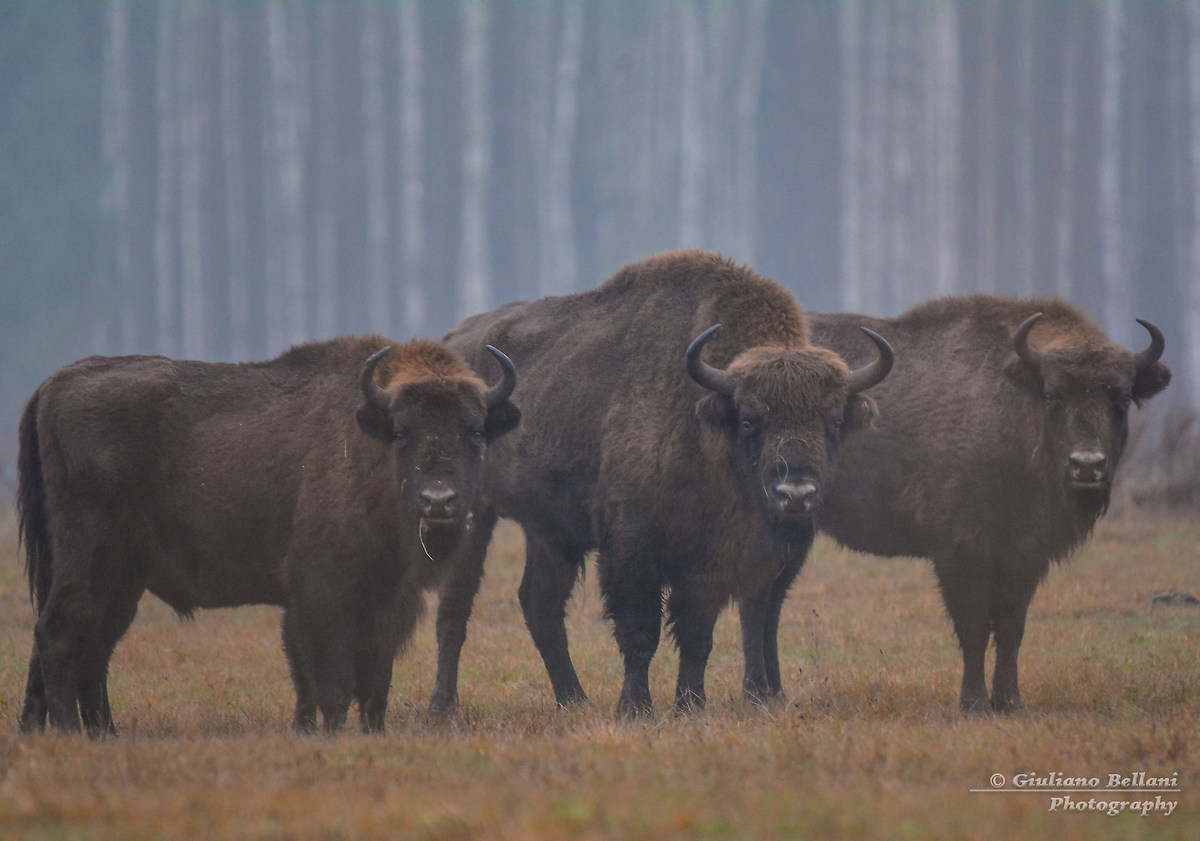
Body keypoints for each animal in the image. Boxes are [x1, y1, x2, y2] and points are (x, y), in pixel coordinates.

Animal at [17, 334, 519, 736]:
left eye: (476, 432)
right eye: (401, 431)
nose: (439, 501)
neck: (367, 450)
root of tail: (52, 386)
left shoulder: (386, 602)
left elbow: (373, 685)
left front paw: (368, 733)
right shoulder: (322, 595)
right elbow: (330, 683)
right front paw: (328, 734)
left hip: (121, 579)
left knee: (93, 647)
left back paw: (102, 733)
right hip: (89, 560)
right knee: (60, 634)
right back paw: (71, 732)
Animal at [431, 249, 892, 716]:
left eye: (833, 422)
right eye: (749, 419)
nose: (794, 495)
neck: (707, 428)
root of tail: (454, 341)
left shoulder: (711, 563)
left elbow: (697, 636)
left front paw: (691, 705)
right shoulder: (632, 548)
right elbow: (640, 631)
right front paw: (635, 708)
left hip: (550, 532)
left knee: (539, 606)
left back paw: (574, 701)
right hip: (473, 514)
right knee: (456, 607)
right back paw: (444, 706)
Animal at [771, 295, 1168, 713]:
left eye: (1121, 398)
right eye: (1051, 395)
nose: (1087, 464)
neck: (1012, 407)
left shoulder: (1025, 556)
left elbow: (1011, 629)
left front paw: (1011, 702)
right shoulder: (960, 552)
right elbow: (974, 628)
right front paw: (975, 703)